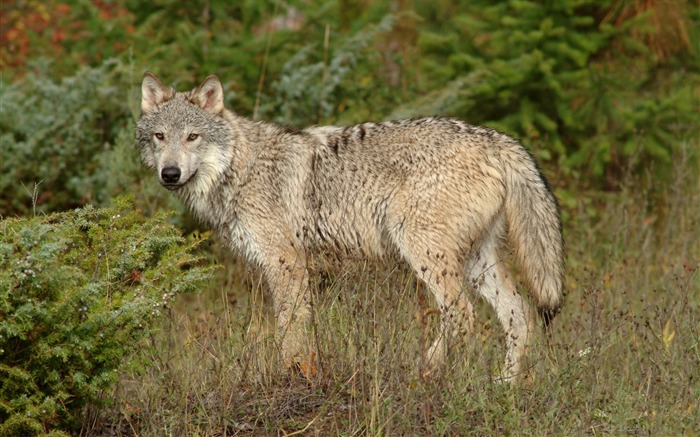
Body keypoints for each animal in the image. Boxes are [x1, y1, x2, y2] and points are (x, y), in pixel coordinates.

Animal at [135, 71, 564, 378]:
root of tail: (495, 138)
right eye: (160, 137)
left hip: (426, 253)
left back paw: (428, 371)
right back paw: (504, 389)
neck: (240, 169)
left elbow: (288, 332)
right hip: (477, 264)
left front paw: (288, 376)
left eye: (193, 137)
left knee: (462, 316)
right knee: (520, 315)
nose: (170, 173)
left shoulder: (287, 265)